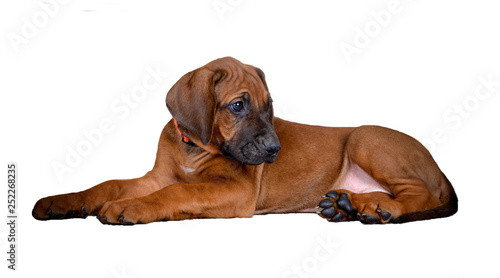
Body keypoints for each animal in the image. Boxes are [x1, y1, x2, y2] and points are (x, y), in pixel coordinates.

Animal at [32, 57, 458, 225]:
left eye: (269, 107)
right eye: (238, 105)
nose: (274, 151)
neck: (195, 147)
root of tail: (439, 167)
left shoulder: (236, 191)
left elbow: (177, 193)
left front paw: (130, 208)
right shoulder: (157, 177)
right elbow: (109, 184)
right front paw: (61, 202)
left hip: (365, 140)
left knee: (419, 194)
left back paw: (377, 207)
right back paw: (348, 203)